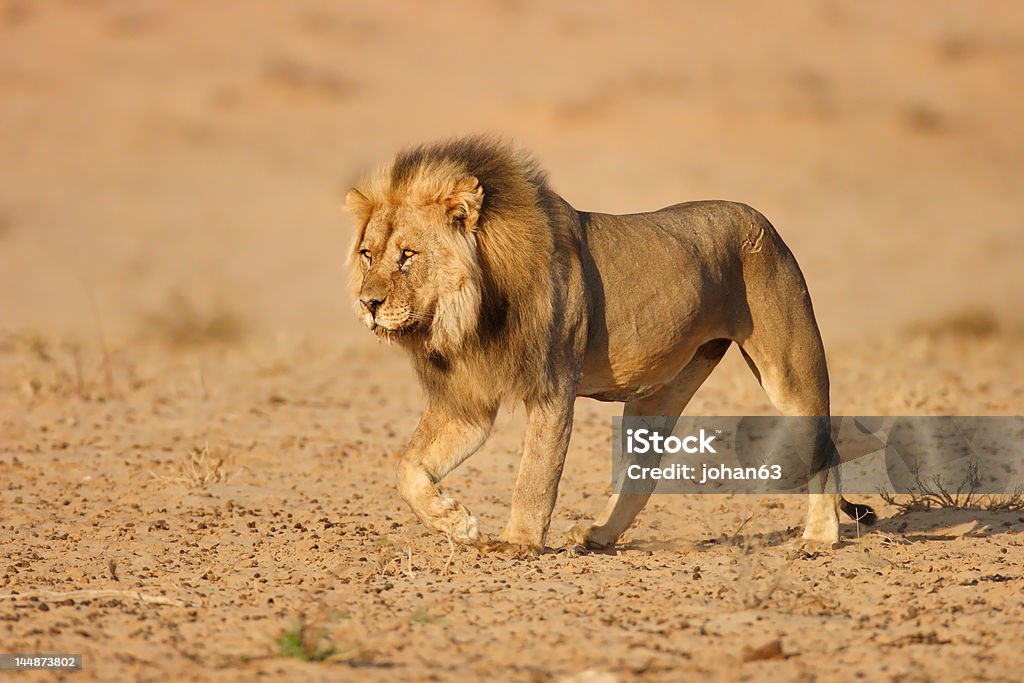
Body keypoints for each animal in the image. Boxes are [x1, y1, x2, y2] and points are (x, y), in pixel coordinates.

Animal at [348, 135, 876, 557]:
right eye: (368, 255)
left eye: (407, 256)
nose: (368, 303)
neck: (469, 317)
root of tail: (761, 219)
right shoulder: (467, 402)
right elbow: (408, 468)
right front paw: (457, 523)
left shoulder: (552, 389)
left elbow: (534, 476)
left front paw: (518, 544)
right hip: (656, 395)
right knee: (641, 474)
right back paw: (598, 536)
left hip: (790, 368)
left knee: (824, 449)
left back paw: (818, 539)